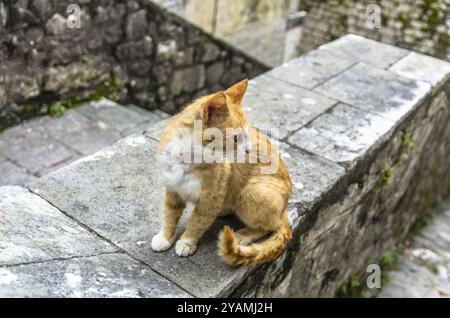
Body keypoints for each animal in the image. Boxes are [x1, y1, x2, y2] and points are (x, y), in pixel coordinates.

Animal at [151, 79, 292, 266]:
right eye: (236, 138)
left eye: (247, 134)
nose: (249, 150)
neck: (188, 158)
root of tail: (285, 210)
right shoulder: (173, 189)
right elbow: (169, 216)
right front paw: (165, 238)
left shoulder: (210, 199)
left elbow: (197, 222)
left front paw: (187, 242)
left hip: (252, 191)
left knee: (270, 226)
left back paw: (243, 235)